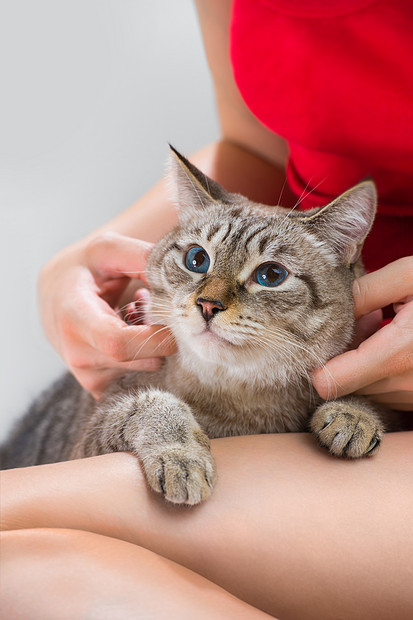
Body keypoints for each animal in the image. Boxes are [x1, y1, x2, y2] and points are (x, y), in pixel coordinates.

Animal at [0, 149, 388, 504]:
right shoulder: (85, 442)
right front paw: (181, 456)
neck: (239, 399)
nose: (208, 305)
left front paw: (355, 413)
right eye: (197, 260)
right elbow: (151, 403)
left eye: (271, 275)